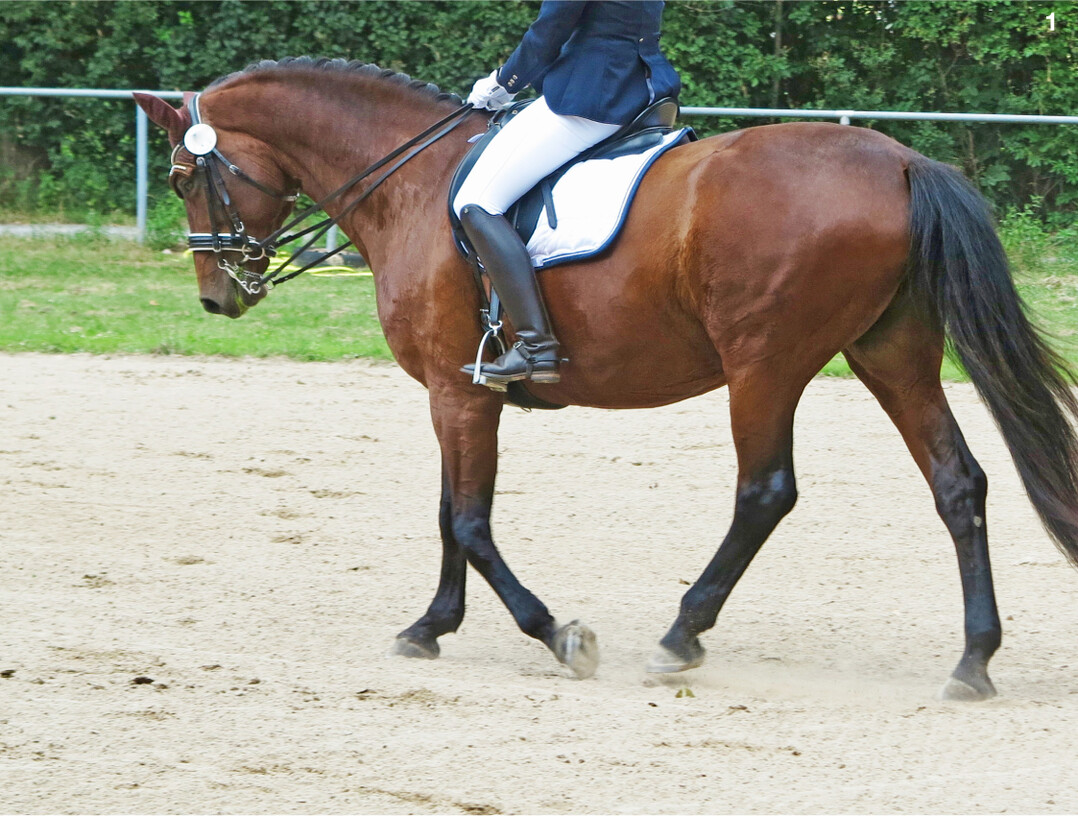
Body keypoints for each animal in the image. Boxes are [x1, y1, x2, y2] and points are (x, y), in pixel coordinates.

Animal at [134, 57, 1078, 700]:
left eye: (182, 177)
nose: (218, 295)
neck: (413, 187)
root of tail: (901, 162)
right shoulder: (460, 392)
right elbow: (448, 514)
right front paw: (431, 627)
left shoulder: (458, 391)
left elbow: (470, 522)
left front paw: (556, 633)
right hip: (891, 352)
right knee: (957, 483)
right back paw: (973, 661)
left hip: (764, 362)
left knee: (766, 491)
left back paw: (681, 634)